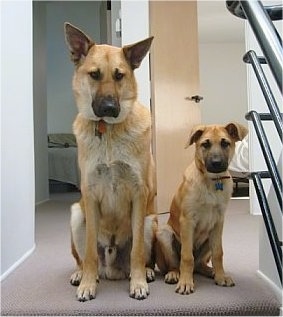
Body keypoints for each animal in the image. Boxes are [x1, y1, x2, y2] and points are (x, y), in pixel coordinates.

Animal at [64, 22, 158, 302]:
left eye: (119, 76)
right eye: (94, 75)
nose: (108, 107)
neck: (108, 131)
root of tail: (113, 267)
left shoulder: (139, 194)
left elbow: (137, 252)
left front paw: (138, 283)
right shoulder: (90, 195)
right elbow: (89, 254)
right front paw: (87, 284)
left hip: (149, 221)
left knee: (141, 256)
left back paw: (145, 272)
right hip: (77, 215)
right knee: (83, 258)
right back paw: (82, 274)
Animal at [156, 121, 247, 294]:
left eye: (225, 143)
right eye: (205, 144)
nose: (216, 163)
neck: (212, 181)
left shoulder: (219, 222)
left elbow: (219, 253)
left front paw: (221, 276)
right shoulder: (187, 221)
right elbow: (186, 257)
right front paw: (186, 282)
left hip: (208, 240)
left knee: (199, 264)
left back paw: (211, 271)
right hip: (164, 233)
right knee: (175, 264)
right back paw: (174, 274)